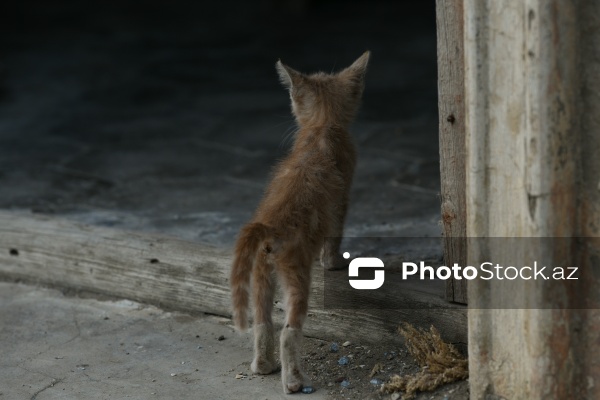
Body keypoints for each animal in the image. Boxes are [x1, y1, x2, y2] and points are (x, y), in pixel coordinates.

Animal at [231, 51, 368, 392]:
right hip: (295, 275)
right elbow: (335, 232)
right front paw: (332, 263)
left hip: (260, 275)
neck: (321, 127)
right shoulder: (341, 200)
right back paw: (293, 381)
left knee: (263, 321)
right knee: (289, 331)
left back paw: (262, 365)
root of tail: (268, 225)